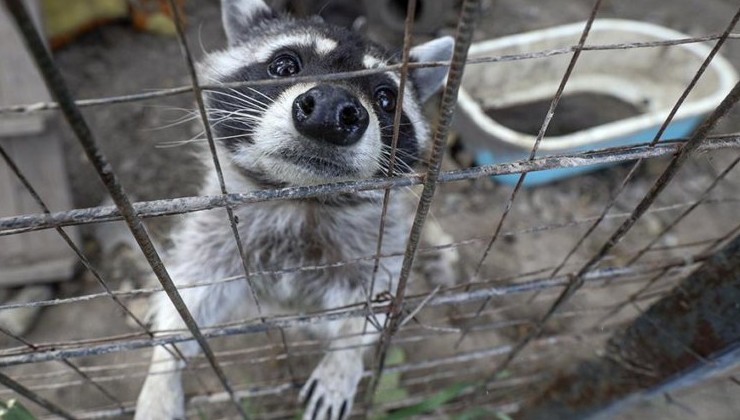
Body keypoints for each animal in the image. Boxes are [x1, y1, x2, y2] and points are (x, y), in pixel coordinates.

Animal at [135, 1, 454, 418]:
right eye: (285, 65)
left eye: (387, 98)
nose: (331, 110)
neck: (302, 198)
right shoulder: (215, 235)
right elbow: (190, 296)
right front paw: (163, 368)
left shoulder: (374, 243)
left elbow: (371, 303)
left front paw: (344, 356)